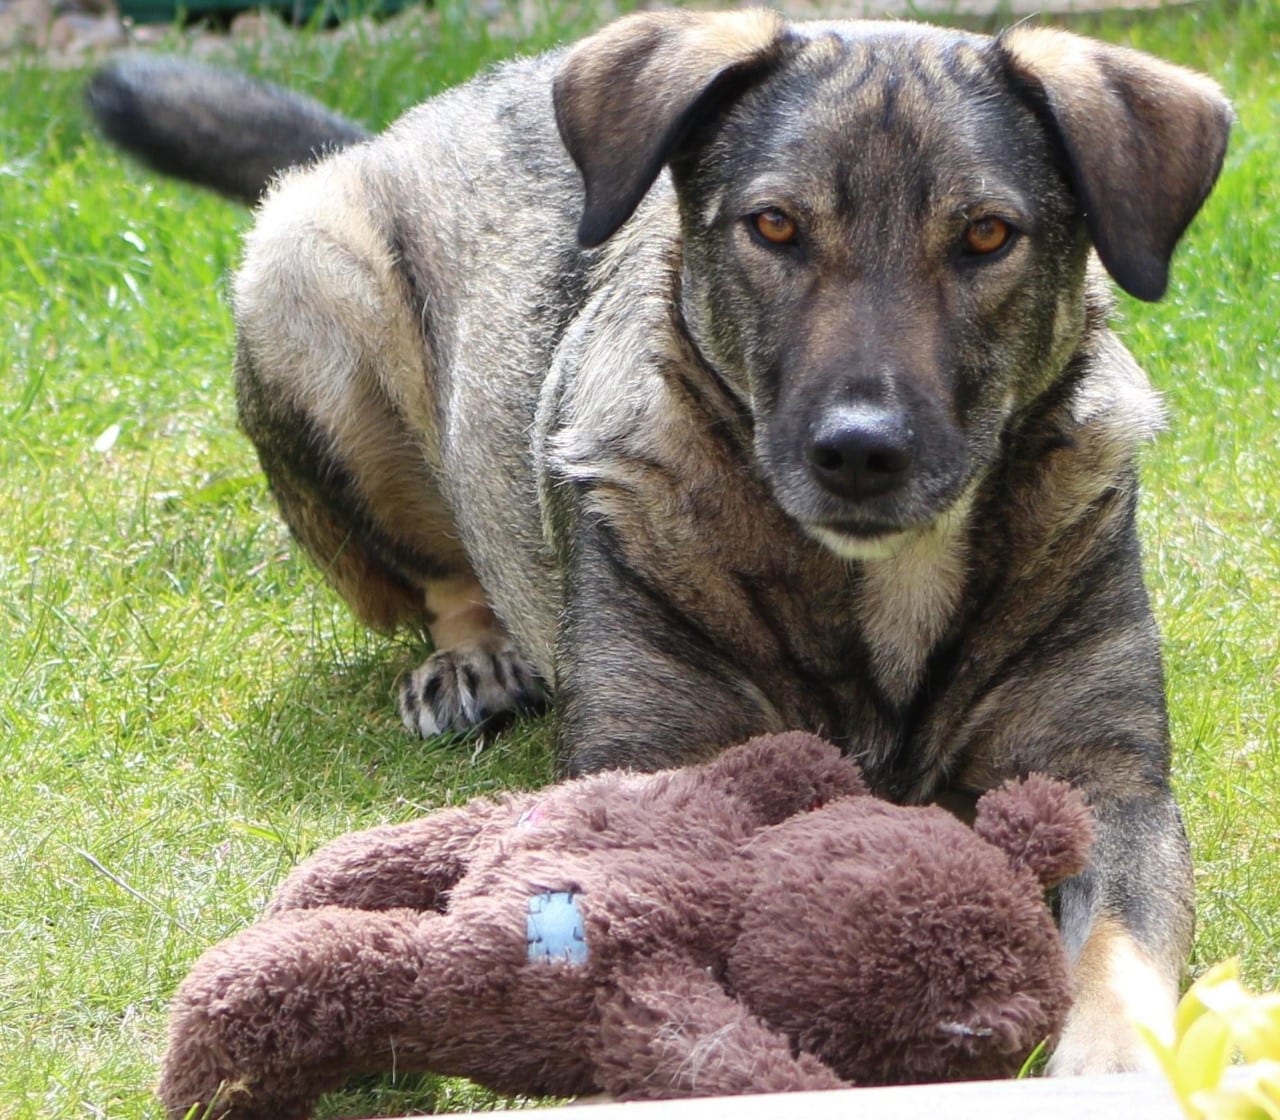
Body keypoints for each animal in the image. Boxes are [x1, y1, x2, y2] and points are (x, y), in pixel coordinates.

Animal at [90, 8, 1228, 1075]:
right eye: (774, 226)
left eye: (987, 236)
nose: (859, 451)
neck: (881, 579)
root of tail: (387, 137)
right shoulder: (646, 762)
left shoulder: (1109, 779)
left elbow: (1120, 941)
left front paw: (1115, 1058)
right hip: (304, 278)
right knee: (436, 571)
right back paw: (472, 657)